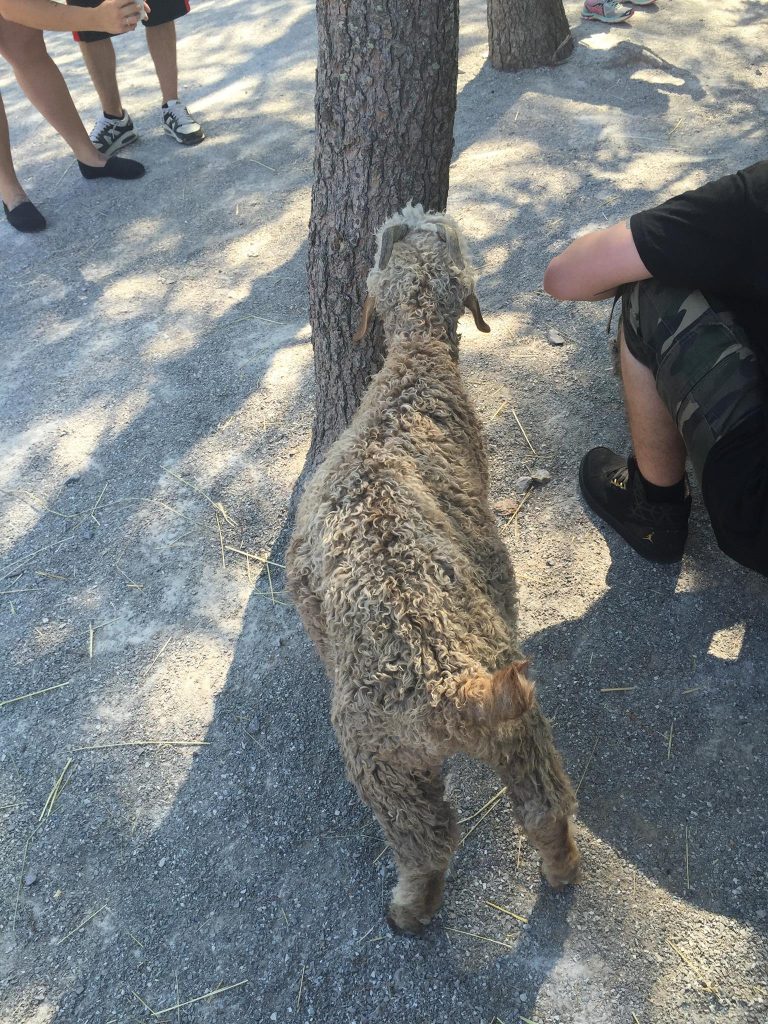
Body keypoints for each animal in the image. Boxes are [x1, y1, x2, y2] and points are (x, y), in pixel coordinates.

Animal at [286, 205, 577, 937]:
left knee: (439, 839)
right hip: (495, 737)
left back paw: (411, 908)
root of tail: (446, 693)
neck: (413, 371)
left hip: (390, 768)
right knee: (529, 811)